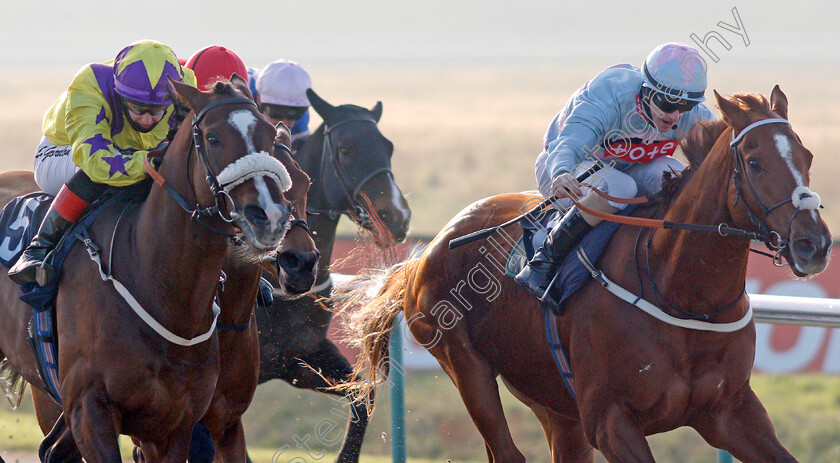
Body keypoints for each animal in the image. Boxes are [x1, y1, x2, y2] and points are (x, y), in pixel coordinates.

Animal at [344, 88, 832, 463]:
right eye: (754, 162)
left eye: (807, 155)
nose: (814, 244)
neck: (683, 295)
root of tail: (428, 250)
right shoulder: (611, 421)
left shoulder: (730, 411)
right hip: (466, 367)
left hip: (554, 403)